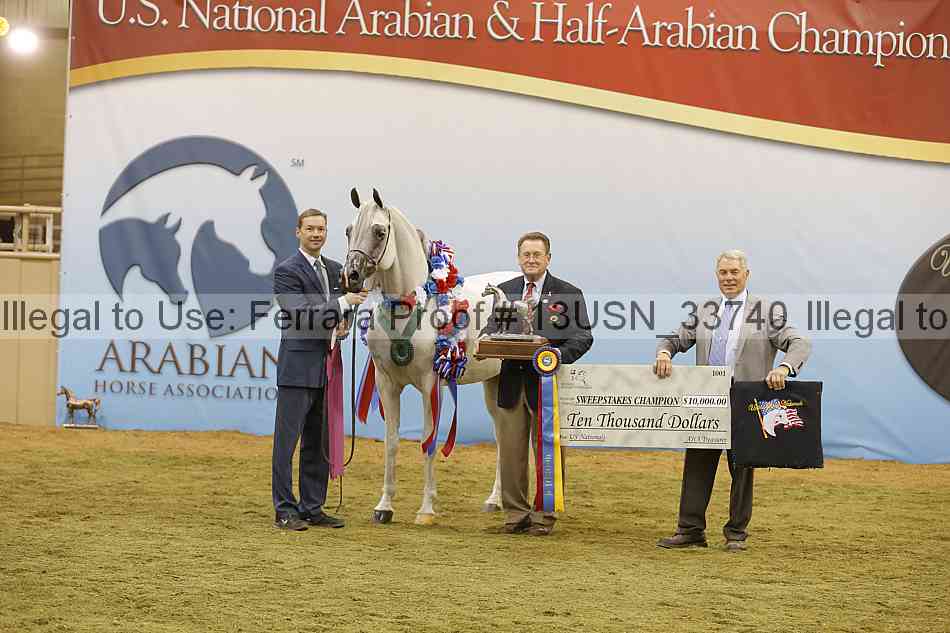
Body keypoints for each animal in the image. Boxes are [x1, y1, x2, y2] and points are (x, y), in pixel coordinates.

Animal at [342, 188, 513, 525]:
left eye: (379, 231)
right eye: (348, 231)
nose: (351, 276)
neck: (411, 309)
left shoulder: (431, 385)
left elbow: (428, 441)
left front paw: (426, 510)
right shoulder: (386, 384)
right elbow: (392, 443)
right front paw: (384, 507)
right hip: (494, 385)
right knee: (503, 436)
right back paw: (494, 500)